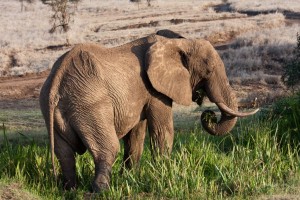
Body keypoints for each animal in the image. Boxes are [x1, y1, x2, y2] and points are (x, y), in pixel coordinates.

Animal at [39, 30, 258, 192]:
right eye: (209, 71)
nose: (209, 113)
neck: (179, 43)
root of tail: (56, 82)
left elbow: (136, 135)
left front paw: (130, 178)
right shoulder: (156, 91)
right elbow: (162, 131)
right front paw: (165, 174)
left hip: (60, 108)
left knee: (64, 153)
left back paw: (70, 190)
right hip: (90, 105)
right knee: (107, 149)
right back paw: (100, 192)